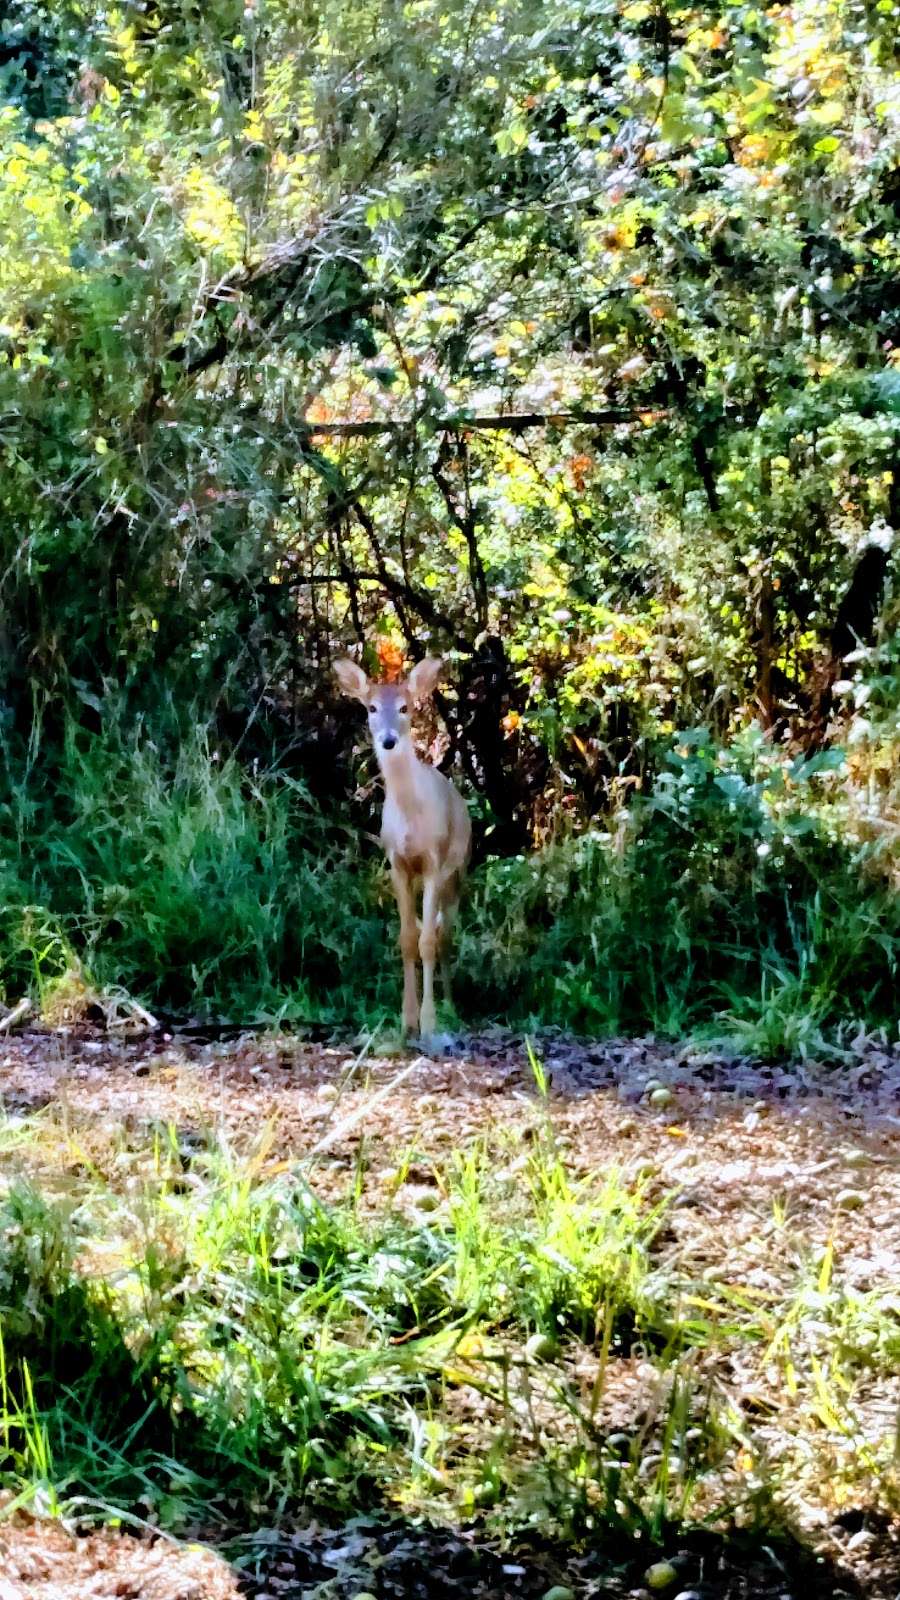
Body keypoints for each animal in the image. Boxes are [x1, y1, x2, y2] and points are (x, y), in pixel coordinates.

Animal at [331, 656, 470, 1043]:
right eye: (372, 708)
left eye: (405, 707)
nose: (389, 740)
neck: (411, 817)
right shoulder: (397, 861)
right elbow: (408, 939)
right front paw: (407, 1021)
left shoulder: (434, 860)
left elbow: (427, 942)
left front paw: (429, 1022)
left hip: (458, 872)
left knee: (445, 936)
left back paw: (452, 1007)